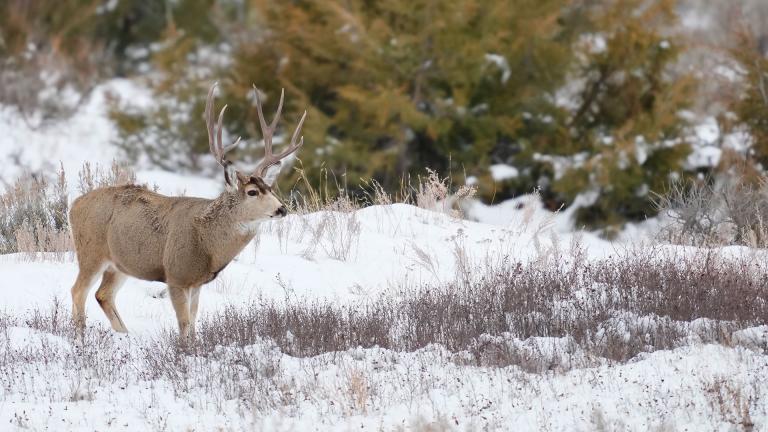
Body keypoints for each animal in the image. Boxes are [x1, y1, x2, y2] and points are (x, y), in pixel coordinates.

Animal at [68, 82, 307, 344]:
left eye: (271, 188)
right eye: (252, 192)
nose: (281, 208)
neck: (208, 243)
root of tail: (74, 205)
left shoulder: (196, 282)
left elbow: (193, 324)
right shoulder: (176, 275)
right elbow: (183, 325)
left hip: (120, 264)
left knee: (103, 294)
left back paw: (124, 335)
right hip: (91, 251)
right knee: (78, 291)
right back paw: (80, 336)